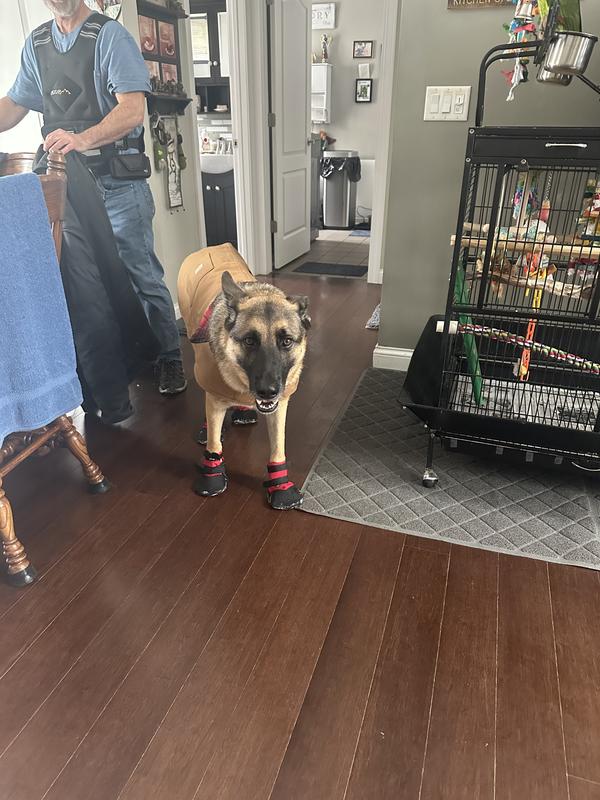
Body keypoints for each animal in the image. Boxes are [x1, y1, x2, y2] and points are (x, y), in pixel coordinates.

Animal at [178, 243, 310, 510]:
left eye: (286, 341)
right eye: (249, 341)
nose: (267, 391)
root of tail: (210, 247)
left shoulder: (280, 407)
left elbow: (278, 447)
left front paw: (280, 486)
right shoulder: (216, 398)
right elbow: (214, 443)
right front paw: (213, 475)